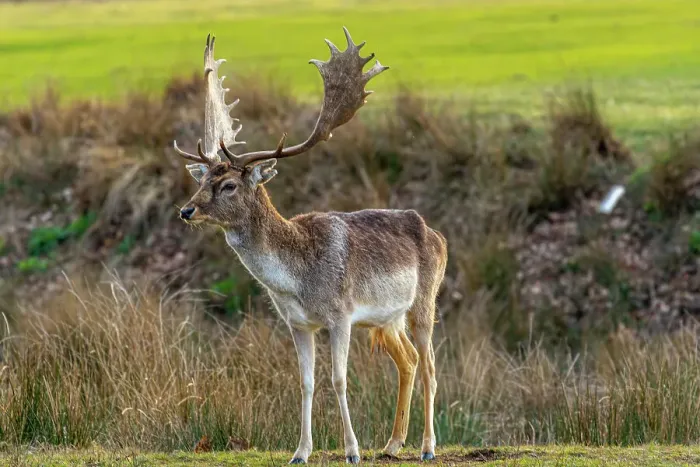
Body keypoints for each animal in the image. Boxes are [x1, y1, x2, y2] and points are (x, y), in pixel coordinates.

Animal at [174, 28, 447, 464]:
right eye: (201, 180)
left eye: (229, 185)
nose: (186, 210)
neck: (297, 280)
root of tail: (439, 236)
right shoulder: (298, 323)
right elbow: (305, 382)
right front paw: (301, 451)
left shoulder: (341, 314)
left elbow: (338, 379)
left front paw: (351, 450)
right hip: (387, 319)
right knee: (407, 361)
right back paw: (392, 444)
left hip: (425, 302)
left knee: (430, 366)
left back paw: (427, 447)